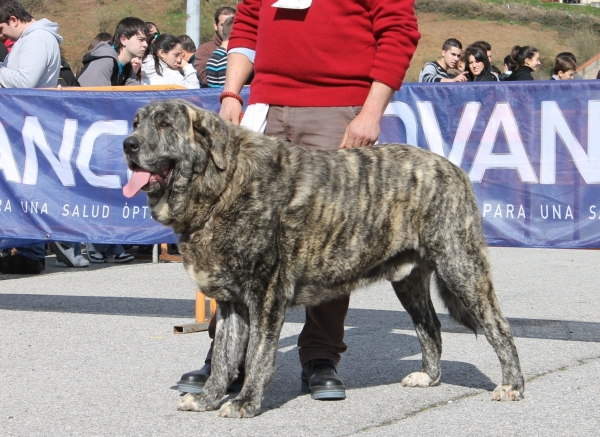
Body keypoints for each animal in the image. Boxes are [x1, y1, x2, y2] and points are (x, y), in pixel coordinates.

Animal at [123, 98, 524, 416]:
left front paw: (246, 403)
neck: (222, 185)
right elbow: (223, 357)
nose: (128, 144)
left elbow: (256, 356)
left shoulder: (266, 298)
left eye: (165, 123)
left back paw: (513, 385)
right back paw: (429, 376)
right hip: (408, 279)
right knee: (430, 326)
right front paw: (207, 399)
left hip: (461, 266)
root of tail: (454, 169)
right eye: (136, 122)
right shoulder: (231, 305)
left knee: (498, 327)